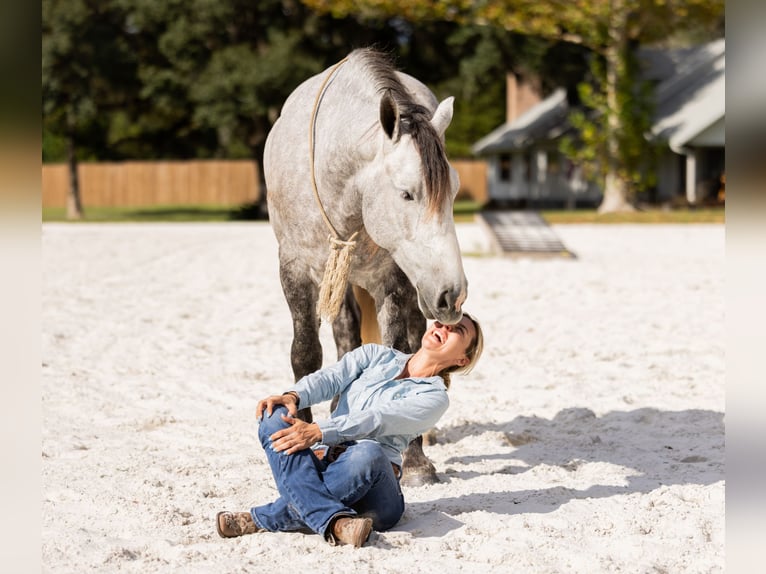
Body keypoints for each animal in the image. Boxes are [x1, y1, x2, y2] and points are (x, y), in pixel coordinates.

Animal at [264, 48, 467, 486]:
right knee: (345, 335)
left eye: (454, 192)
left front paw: (415, 461)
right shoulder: (297, 272)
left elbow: (400, 352)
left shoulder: (394, 281)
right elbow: (305, 354)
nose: (453, 294)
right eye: (406, 193)